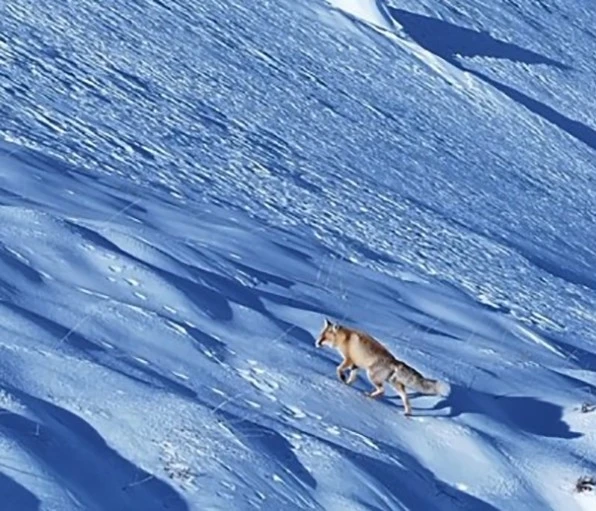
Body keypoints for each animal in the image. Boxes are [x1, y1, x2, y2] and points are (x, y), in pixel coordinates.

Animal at [316, 318, 448, 418]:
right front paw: (346, 384)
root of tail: (395, 361)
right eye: (320, 336)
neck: (345, 338)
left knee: (382, 391)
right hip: (394, 384)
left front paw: (342, 378)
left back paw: (370, 396)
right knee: (404, 397)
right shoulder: (356, 365)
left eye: (324, 338)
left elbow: (339, 369)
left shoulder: (349, 360)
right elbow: (352, 378)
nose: (316, 343)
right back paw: (407, 412)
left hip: (372, 375)